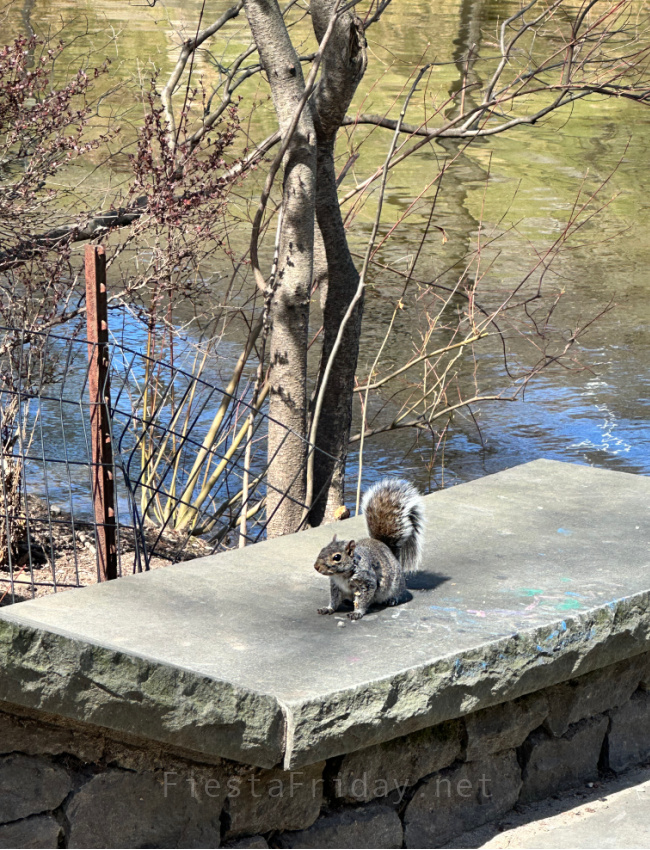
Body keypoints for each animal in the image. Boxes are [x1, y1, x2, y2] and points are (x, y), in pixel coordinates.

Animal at [314, 479, 425, 621]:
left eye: (337, 557)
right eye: (322, 549)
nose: (316, 567)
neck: (341, 575)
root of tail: (387, 549)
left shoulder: (367, 582)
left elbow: (363, 599)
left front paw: (357, 612)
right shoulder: (336, 586)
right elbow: (334, 600)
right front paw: (328, 608)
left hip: (396, 584)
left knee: (398, 593)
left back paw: (393, 599)